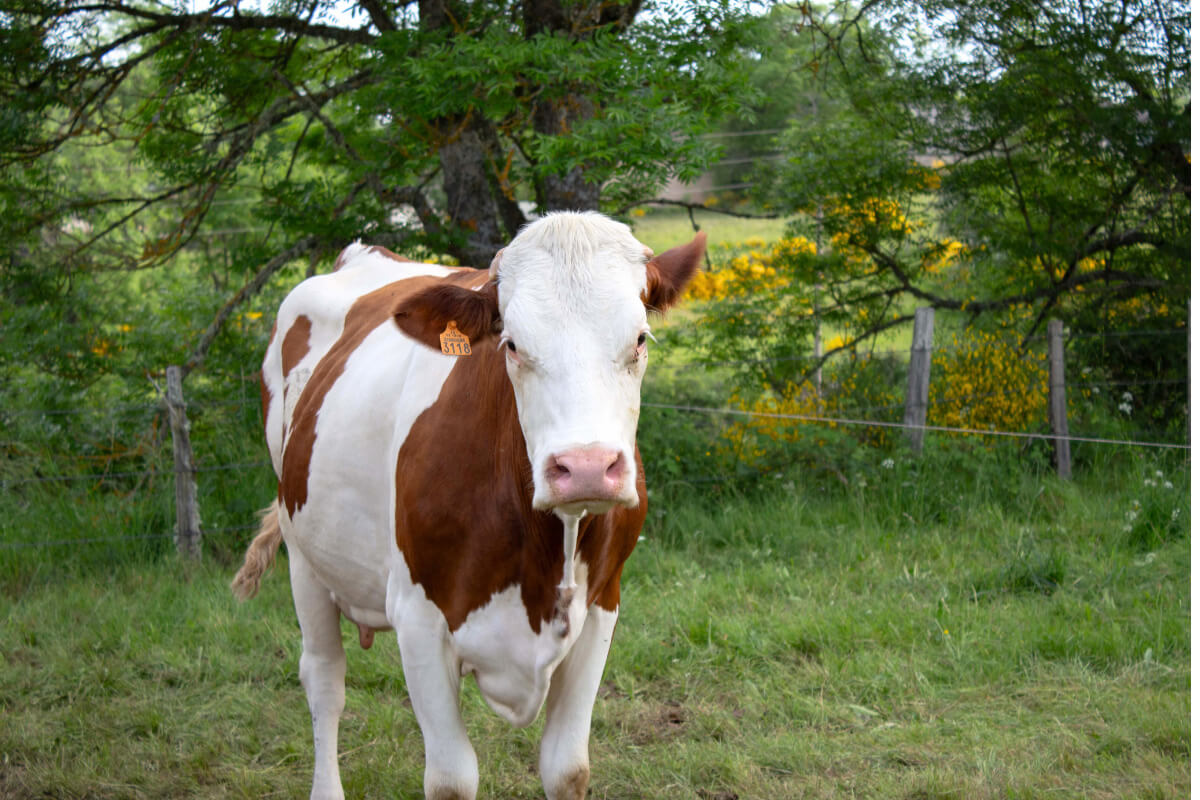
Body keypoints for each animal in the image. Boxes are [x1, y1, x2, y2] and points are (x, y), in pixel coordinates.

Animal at [232, 211, 703, 800]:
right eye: (512, 345)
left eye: (640, 339)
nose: (587, 468)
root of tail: (368, 254)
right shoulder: (417, 617)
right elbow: (451, 779)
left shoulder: (602, 607)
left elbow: (567, 768)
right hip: (304, 555)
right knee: (324, 680)